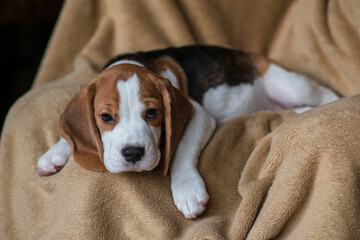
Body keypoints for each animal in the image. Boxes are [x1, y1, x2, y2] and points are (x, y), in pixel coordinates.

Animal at [36, 45, 338, 219]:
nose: (133, 153)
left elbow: (180, 150)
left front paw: (187, 189)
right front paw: (55, 152)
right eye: (106, 117)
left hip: (289, 84)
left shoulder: (198, 114)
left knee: (327, 95)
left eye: (153, 113)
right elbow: (71, 137)